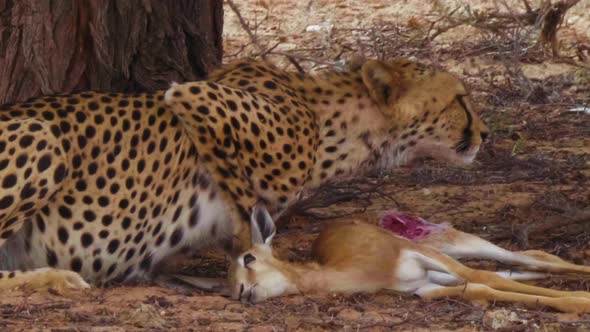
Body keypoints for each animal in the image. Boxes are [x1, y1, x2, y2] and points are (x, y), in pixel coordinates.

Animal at [0, 57, 490, 290]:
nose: (486, 134)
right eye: (461, 98)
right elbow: (242, 193)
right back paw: (56, 278)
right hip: (43, 135)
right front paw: (251, 238)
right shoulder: (192, 93)